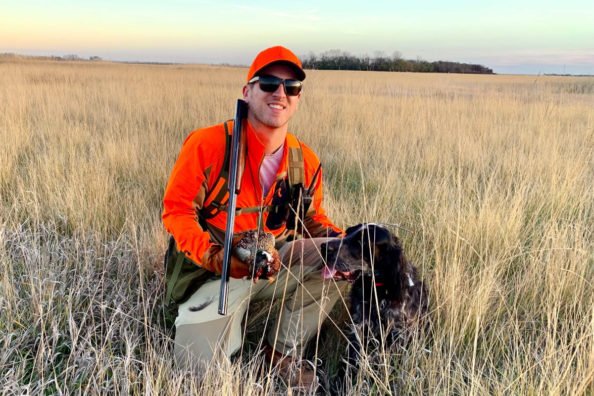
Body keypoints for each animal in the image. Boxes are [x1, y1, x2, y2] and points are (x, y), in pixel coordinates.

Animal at [322, 224, 428, 372]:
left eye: (362, 241)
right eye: (347, 233)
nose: (323, 247)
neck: (376, 290)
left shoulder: (399, 333)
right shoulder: (359, 325)